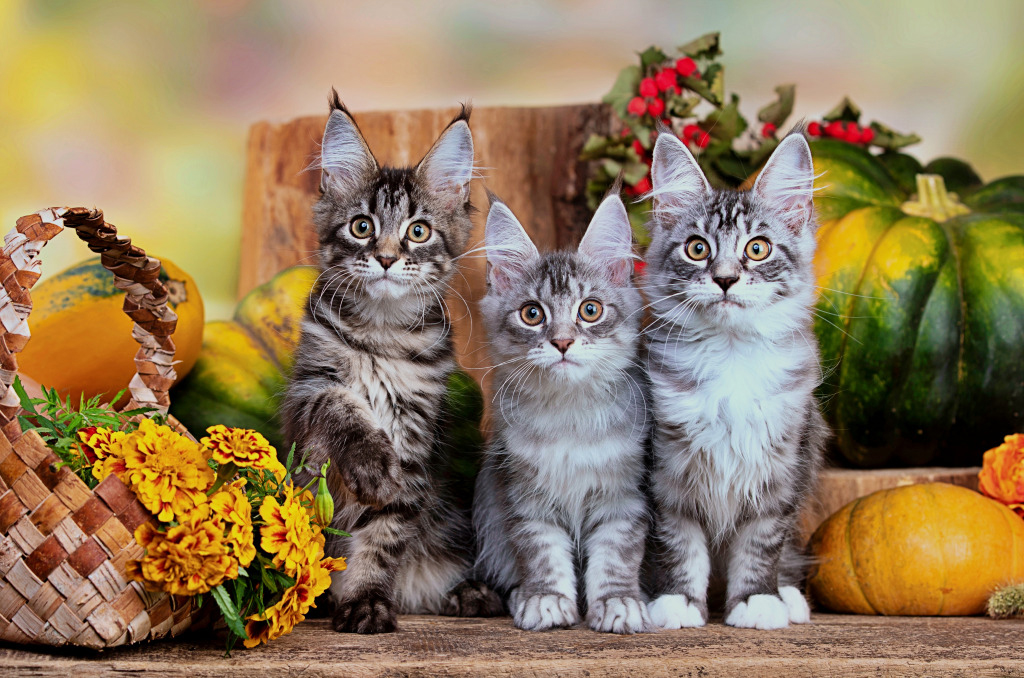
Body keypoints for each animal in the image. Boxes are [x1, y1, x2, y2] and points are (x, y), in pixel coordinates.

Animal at [280, 94, 503, 639]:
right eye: (362, 226)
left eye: (417, 232)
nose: (384, 258)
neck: (381, 334)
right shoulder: (305, 395)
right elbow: (341, 406)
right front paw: (370, 464)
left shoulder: (416, 438)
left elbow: (382, 536)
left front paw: (364, 601)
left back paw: (471, 594)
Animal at [468, 192, 647, 639]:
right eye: (532, 314)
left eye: (590, 310)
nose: (563, 342)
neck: (569, 418)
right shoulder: (525, 497)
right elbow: (542, 553)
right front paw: (546, 600)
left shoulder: (623, 495)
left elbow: (617, 554)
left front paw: (618, 603)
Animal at [643, 131, 827, 630]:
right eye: (697, 248)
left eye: (757, 248)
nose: (725, 279)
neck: (731, 357)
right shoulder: (667, 473)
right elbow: (678, 543)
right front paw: (677, 602)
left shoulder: (781, 472)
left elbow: (761, 544)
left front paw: (757, 600)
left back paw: (789, 595)